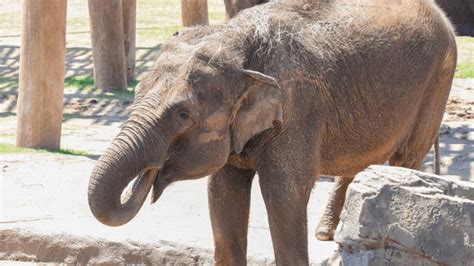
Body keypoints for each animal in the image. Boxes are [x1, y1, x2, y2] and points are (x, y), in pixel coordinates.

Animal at [87, 0, 458, 264]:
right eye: (135, 94)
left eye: (183, 114)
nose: (150, 172)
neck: (235, 38)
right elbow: (223, 191)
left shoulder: (297, 109)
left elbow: (284, 192)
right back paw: (326, 234)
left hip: (439, 78)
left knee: (405, 157)